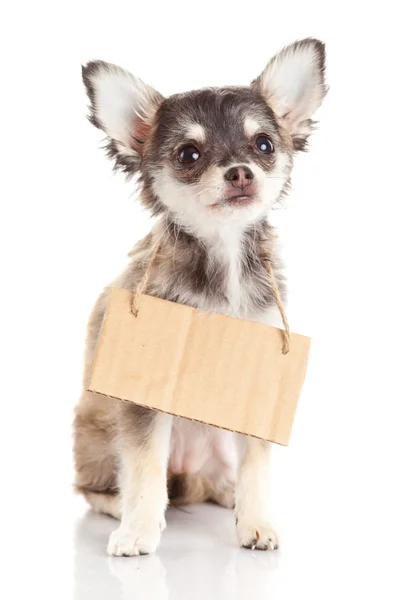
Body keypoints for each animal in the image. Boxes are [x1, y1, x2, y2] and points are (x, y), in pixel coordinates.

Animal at [73, 37, 326, 556]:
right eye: (189, 155)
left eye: (264, 145)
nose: (241, 172)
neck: (222, 253)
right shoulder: (142, 406)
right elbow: (145, 468)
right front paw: (138, 529)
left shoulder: (256, 389)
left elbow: (257, 465)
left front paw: (257, 521)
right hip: (101, 437)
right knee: (102, 487)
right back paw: (120, 508)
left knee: (220, 478)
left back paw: (228, 495)